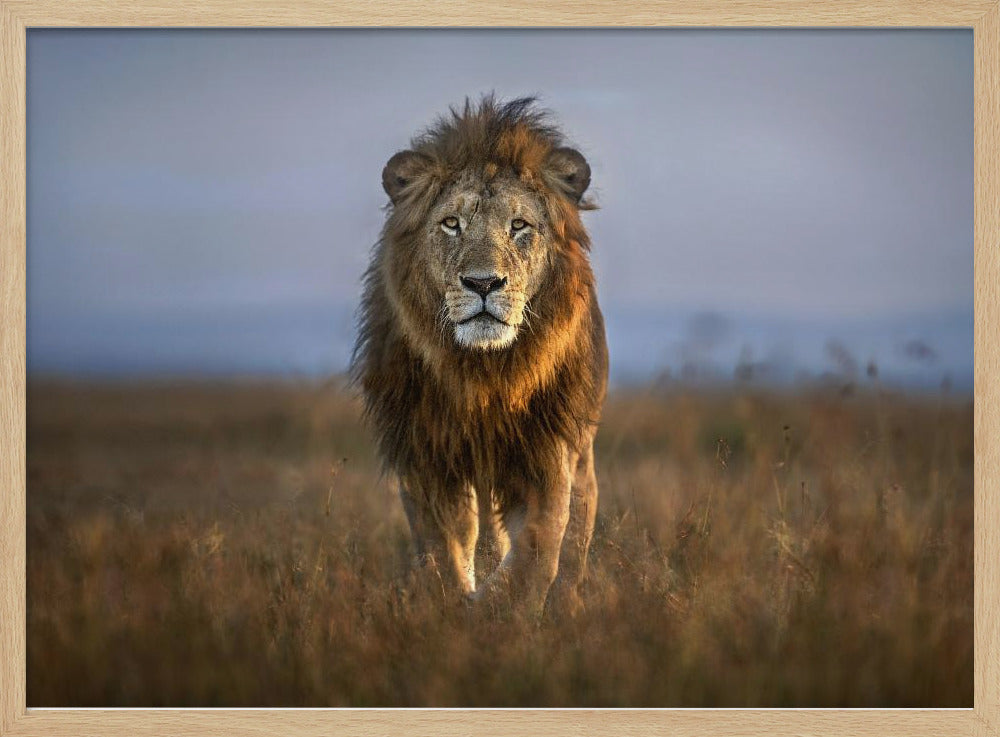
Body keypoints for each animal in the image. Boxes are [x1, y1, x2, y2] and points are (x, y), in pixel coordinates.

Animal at [352, 96, 608, 614]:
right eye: (452, 223)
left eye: (519, 225)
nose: (484, 283)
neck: (484, 373)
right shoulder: (426, 454)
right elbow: (444, 548)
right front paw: (454, 608)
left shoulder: (547, 452)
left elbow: (537, 548)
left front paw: (500, 611)